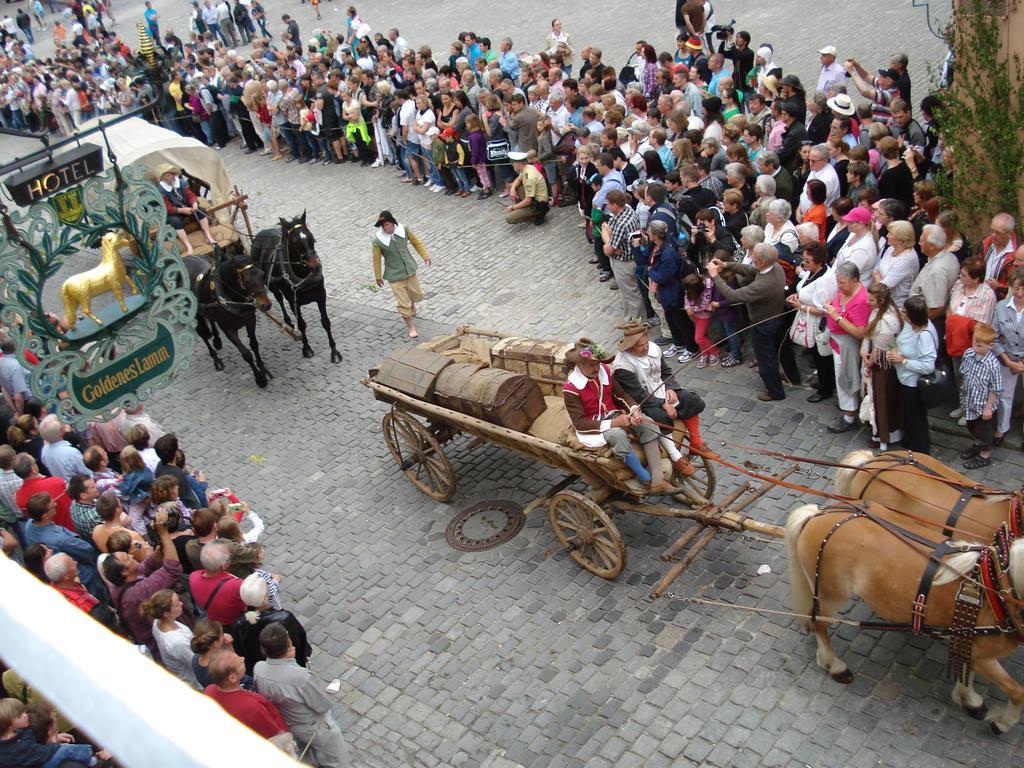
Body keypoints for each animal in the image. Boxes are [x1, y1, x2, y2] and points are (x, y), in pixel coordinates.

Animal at [184, 246, 272, 387]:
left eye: (262, 274)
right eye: (247, 280)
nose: (266, 305)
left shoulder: (250, 320)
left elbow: (254, 344)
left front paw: (263, 369)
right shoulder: (228, 329)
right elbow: (246, 353)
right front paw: (259, 378)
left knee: (211, 320)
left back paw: (217, 340)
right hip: (194, 314)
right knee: (202, 334)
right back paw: (216, 359)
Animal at [247, 211, 344, 364]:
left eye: (312, 238)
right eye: (296, 243)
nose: (316, 267)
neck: (304, 276)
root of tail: (261, 234)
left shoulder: (321, 295)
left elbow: (326, 322)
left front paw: (334, 352)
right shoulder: (294, 302)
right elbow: (302, 324)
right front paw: (307, 348)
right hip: (271, 286)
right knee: (279, 298)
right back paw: (288, 322)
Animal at [790, 501, 1024, 737]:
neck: (996, 585)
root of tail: (818, 514)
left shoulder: (968, 639)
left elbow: (967, 668)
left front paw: (968, 699)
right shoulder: (982, 655)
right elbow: (1017, 691)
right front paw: (1002, 722)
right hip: (831, 595)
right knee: (819, 624)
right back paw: (835, 666)